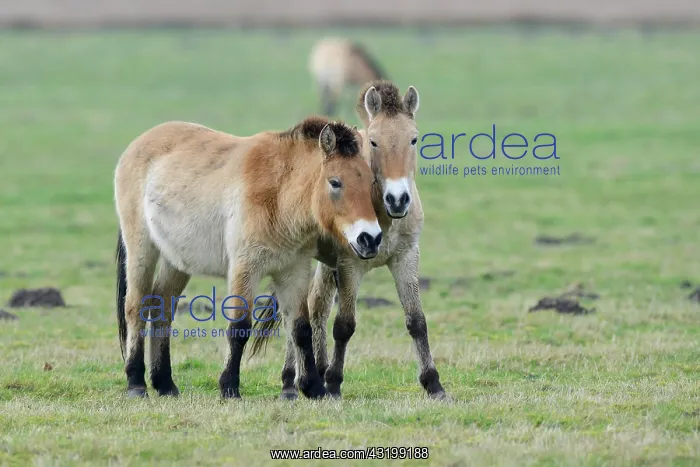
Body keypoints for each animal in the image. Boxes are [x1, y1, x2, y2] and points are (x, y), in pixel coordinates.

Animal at [114, 116, 383, 400]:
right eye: (335, 182)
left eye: (370, 182)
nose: (370, 238)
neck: (279, 194)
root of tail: (138, 144)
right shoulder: (245, 268)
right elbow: (240, 327)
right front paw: (230, 387)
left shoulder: (294, 271)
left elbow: (301, 328)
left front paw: (314, 388)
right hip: (142, 250)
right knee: (135, 306)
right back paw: (136, 383)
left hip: (175, 261)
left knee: (162, 306)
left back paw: (165, 383)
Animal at [249, 81, 447, 401]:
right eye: (374, 142)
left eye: (414, 139)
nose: (398, 199)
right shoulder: (350, 264)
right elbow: (344, 325)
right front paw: (333, 383)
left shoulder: (405, 258)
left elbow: (416, 321)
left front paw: (434, 384)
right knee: (300, 312)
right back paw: (291, 383)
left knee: (316, 307)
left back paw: (313, 371)